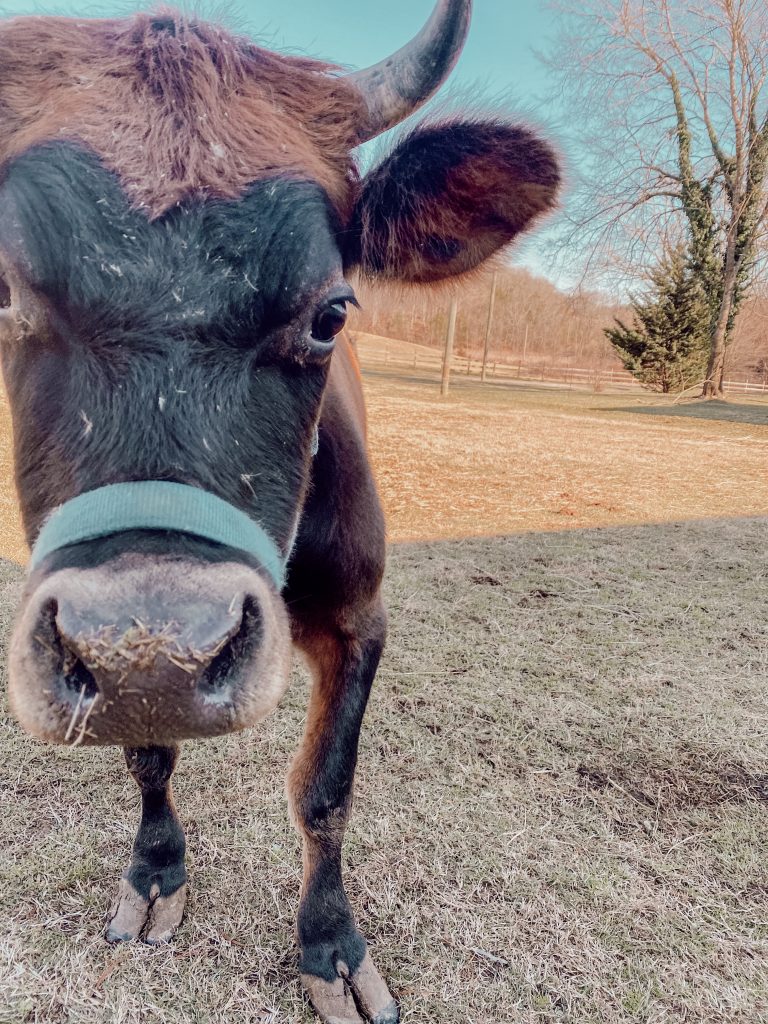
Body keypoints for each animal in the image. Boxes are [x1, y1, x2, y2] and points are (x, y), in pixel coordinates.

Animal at [0, 2, 559, 1021]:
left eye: (331, 312)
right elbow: (149, 757)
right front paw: (155, 872)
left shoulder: (359, 616)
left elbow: (325, 790)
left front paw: (329, 944)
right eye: (0, 288)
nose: (156, 647)